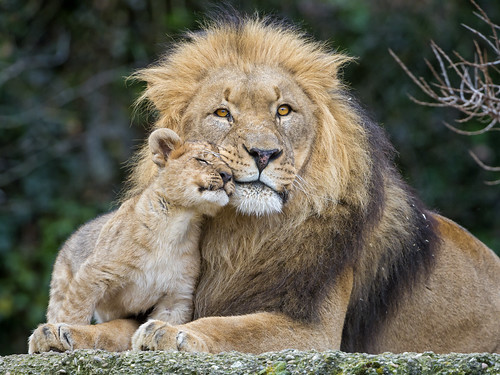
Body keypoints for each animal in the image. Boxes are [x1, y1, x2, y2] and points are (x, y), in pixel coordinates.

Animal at [31, 15, 500, 356]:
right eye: (222, 113)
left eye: (284, 110)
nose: (263, 154)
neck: (243, 233)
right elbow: (113, 325)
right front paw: (61, 331)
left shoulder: (314, 332)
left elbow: (236, 328)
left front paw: (173, 333)